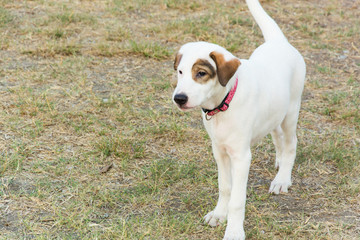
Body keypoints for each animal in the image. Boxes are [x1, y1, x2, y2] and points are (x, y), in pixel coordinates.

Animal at [173, 0, 306, 239]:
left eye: (201, 73)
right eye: (180, 72)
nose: (179, 98)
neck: (224, 105)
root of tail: (278, 42)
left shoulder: (242, 157)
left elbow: (237, 200)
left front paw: (234, 231)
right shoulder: (219, 151)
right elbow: (225, 186)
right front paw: (219, 214)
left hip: (291, 111)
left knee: (291, 143)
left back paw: (282, 178)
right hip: (275, 112)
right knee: (277, 136)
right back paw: (280, 161)